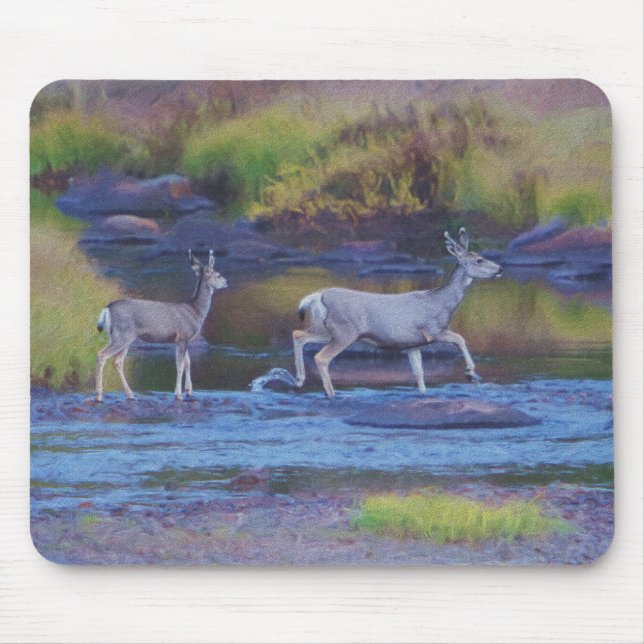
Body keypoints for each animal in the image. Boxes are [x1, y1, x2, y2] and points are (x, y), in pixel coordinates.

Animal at [95, 250, 227, 402]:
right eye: (218, 275)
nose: (226, 282)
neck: (195, 310)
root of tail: (107, 309)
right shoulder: (183, 336)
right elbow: (180, 365)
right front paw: (178, 394)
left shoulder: (184, 339)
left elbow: (188, 363)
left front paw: (189, 391)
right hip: (122, 335)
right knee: (102, 355)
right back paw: (99, 395)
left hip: (120, 337)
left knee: (117, 361)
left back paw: (130, 394)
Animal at [292, 228, 503, 398]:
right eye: (479, 260)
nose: (500, 269)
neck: (442, 302)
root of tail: (317, 296)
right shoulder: (432, 330)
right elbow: (460, 338)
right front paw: (470, 373)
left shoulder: (413, 345)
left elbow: (419, 374)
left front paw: (424, 394)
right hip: (345, 331)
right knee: (321, 357)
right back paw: (331, 393)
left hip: (326, 329)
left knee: (298, 334)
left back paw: (300, 380)